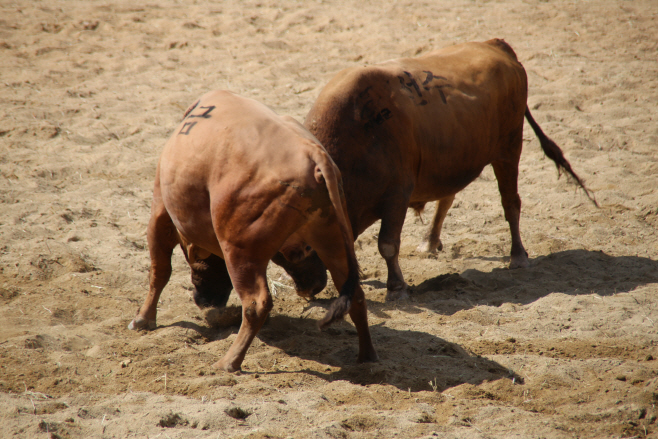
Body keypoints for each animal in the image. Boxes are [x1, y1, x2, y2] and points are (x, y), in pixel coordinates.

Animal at [127, 91, 374, 372]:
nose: (205, 301)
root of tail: (313, 155)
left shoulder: (160, 212)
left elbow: (159, 272)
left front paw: (143, 319)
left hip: (240, 252)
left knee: (256, 304)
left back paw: (229, 361)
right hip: (332, 239)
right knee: (355, 294)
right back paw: (366, 356)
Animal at [302, 39, 596, 300]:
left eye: (304, 247)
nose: (306, 289)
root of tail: (496, 45)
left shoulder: (397, 195)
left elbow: (387, 244)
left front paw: (397, 288)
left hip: (509, 149)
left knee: (511, 202)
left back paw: (518, 256)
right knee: (448, 197)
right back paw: (430, 242)